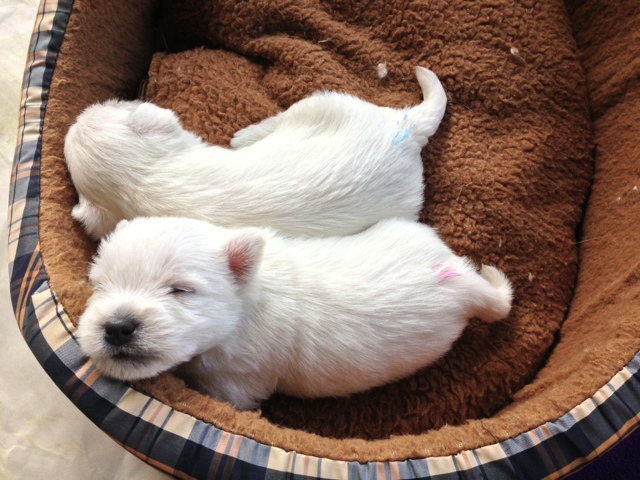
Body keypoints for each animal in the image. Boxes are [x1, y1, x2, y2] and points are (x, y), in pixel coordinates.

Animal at [65, 67, 447, 240]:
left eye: (116, 104)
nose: (83, 109)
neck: (146, 178)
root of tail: (407, 126)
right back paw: (245, 135)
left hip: (322, 105)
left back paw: (243, 135)